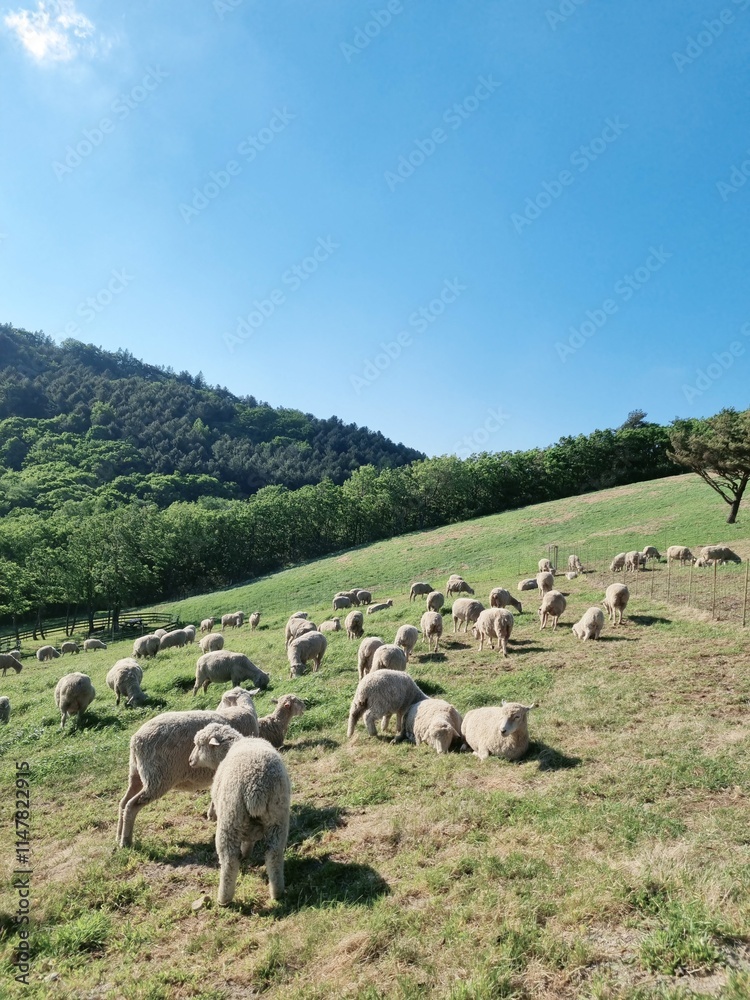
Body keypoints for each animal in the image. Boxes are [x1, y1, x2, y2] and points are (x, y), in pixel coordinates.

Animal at [116, 686, 260, 848]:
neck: (243, 709)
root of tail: (136, 740)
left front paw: (212, 814)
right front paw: (213, 814)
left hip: (136, 773)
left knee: (123, 802)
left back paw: (118, 835)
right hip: (157, 779)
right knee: (131, 805)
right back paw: (125, 841)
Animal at [188, 723, 290, 905]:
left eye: (199, 745)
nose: (190, 761)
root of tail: (257, 786)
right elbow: (249, 839)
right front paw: (247, 853)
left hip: (230, 817)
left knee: (229, 860)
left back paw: (223, 899)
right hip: (278, 817)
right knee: (274, 854)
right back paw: (277, 891)